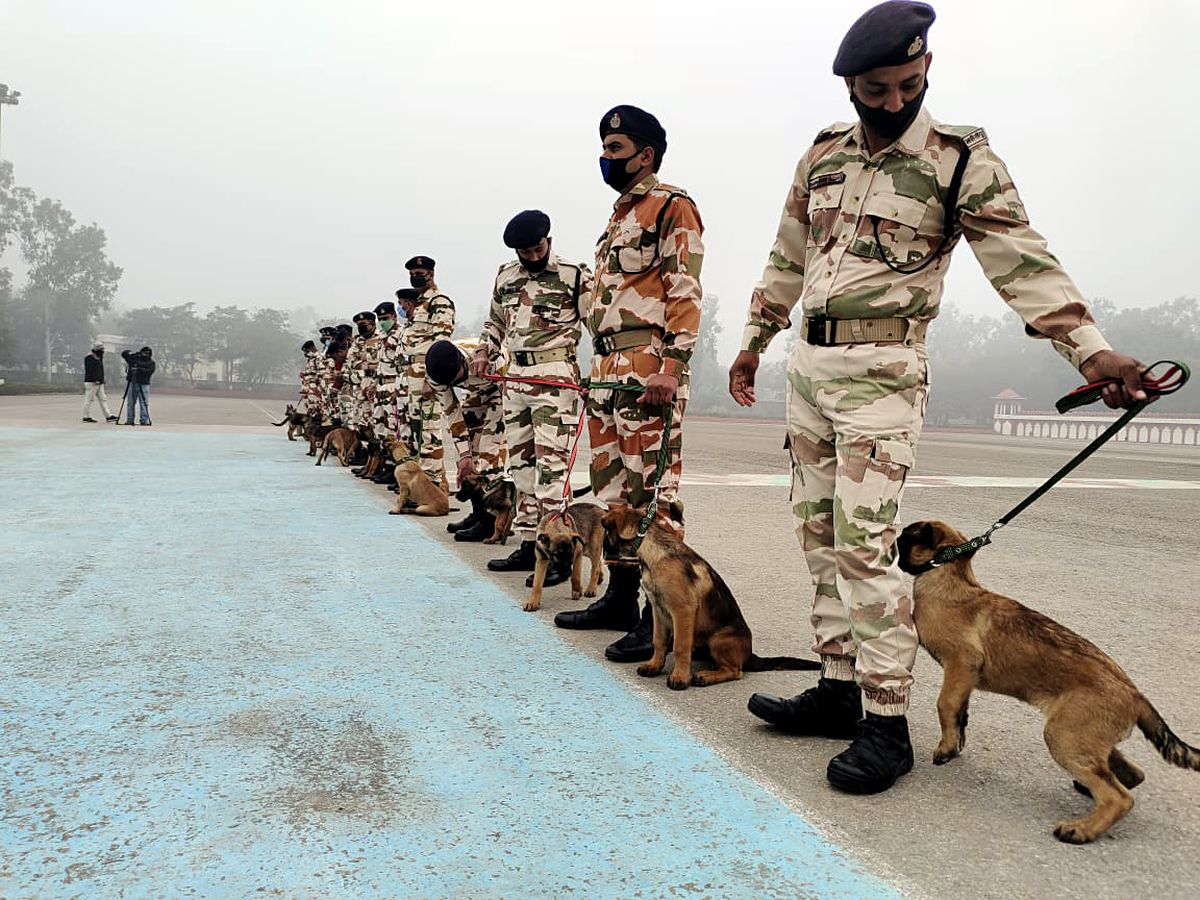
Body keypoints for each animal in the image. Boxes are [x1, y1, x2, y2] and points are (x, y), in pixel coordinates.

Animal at [604, 508, 820, 691]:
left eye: (606, 530)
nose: (604, 554)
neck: (655, 551)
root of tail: (750, 655)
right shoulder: (658, 609)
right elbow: (659, 640)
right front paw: (654, 665)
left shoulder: (682, 610)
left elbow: (680, 646)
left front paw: (680, 677)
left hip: (719, 640)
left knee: (735, 671)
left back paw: (705, 676)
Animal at [902, 520, 1200, 844]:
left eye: (906, 536)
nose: (893, 539)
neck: (950, 579)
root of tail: (1136, 695)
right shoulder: (964, 678)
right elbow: (960, 713)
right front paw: (955, 742)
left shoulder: (961, 664)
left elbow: (944, 705)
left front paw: (945, 748)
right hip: (1083, 736)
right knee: (1130, 775)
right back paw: (1089, 793)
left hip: (1063, 736)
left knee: (1119, 798)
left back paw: (1080, 829)